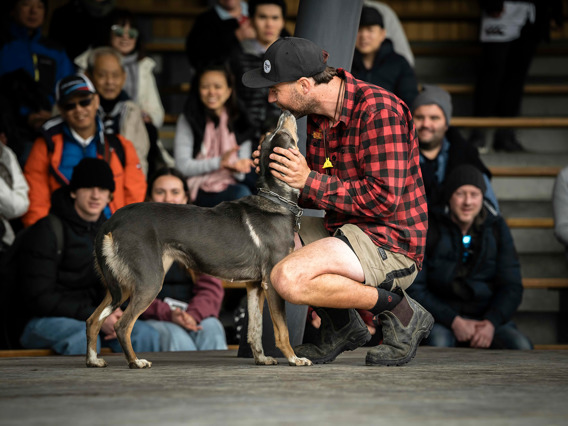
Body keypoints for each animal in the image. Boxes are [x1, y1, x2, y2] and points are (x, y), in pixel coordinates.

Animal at [86, 111, 312, 368]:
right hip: (148, 281)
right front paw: (294, 358)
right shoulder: (272, 281)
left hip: (121, 284)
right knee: (122, 325)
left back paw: (93, 360)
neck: (275, 200)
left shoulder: (254, 285)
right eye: (284, 135)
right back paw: (136, 362)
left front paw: (261, 358)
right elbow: (282, 329)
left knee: (93, 320)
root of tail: (111, 221)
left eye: (272, 134)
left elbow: (254, 329)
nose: (285, 112)